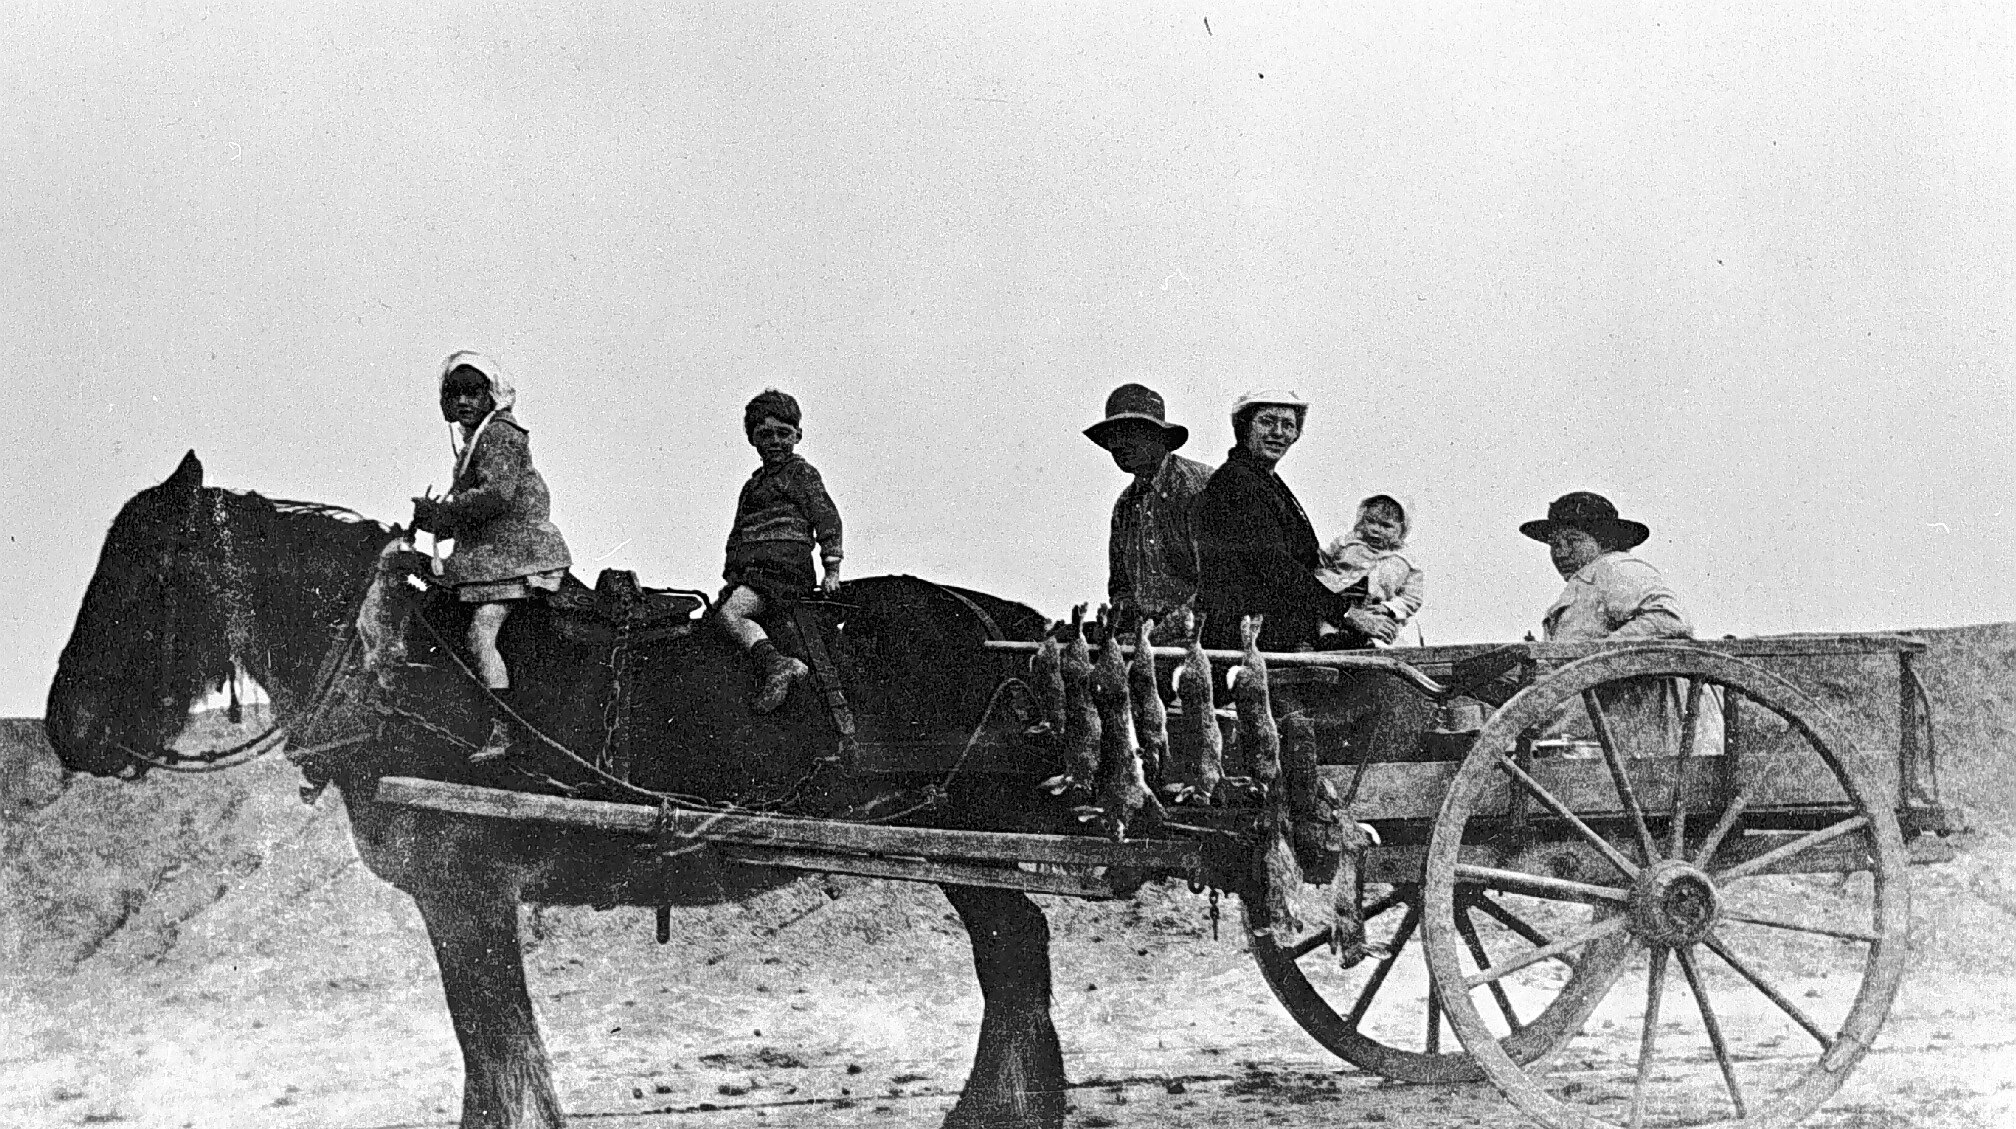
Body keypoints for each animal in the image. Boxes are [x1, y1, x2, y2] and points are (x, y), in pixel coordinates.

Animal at [44, 451, 1089, 1129]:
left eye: (145, 572)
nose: (67, 727)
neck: (404, 663)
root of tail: (1006, 621)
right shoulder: (457, 899)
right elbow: (492, 1049)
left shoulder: (465, 891)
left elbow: (496, 1045)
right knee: (1015, 960)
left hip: (967, 835)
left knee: (1016, 956)